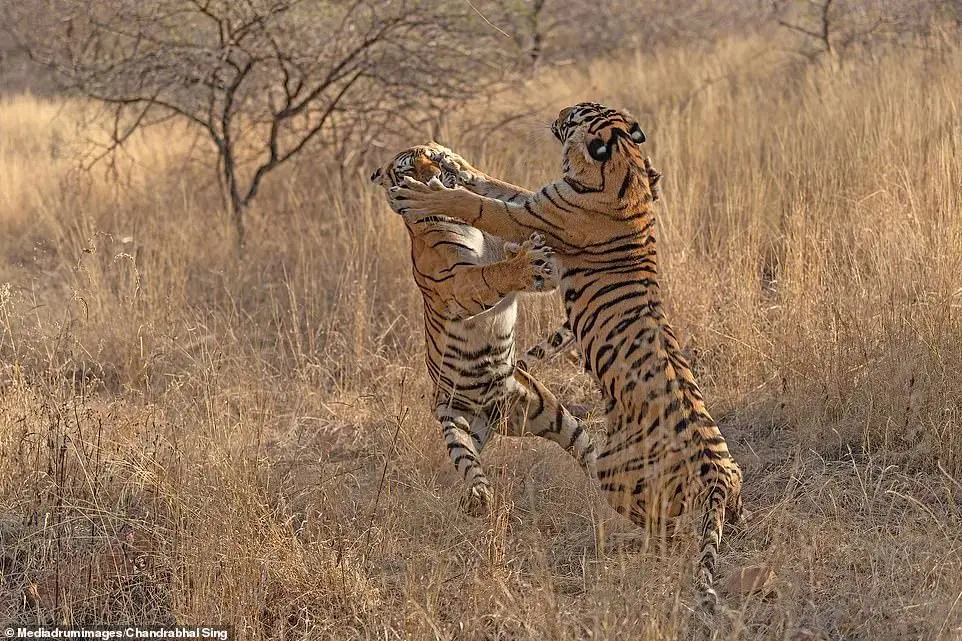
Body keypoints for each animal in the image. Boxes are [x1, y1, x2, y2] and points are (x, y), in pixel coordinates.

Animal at [368, 144, 592, 516]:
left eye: (431, 156)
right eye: (408, 169)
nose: (436, 174)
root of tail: (494, 415)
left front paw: (465, 170)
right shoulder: (460, 283)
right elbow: (493, 273)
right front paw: (525, 260)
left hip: (550, 414)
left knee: (586, 448)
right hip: (453, 421)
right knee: (469, 462)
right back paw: (478, 497)